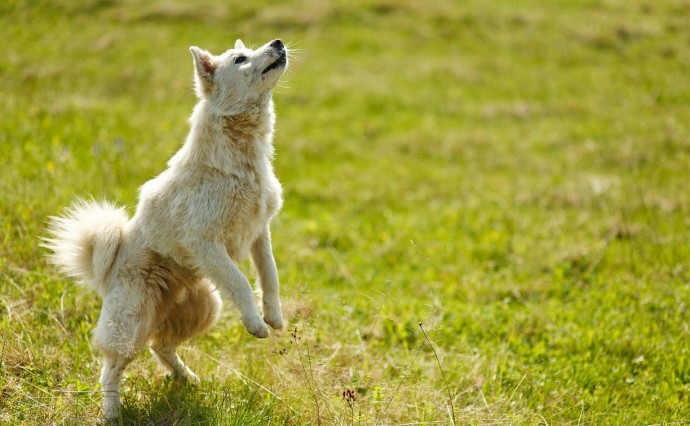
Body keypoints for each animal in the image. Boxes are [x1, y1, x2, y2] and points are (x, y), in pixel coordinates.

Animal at [43, 37, 288, 420]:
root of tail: (105, 271)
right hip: (131, 326)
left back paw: (188, 379)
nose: (278, 42)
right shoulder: (205, 241)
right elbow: (241, 282)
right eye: (240, 58)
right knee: (110, 369)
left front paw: (274, 318)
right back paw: (112, 413)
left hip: (204, 307)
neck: (239, 159)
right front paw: (255, 325)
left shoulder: (259, 232)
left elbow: (270, 276)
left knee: (161, 346)